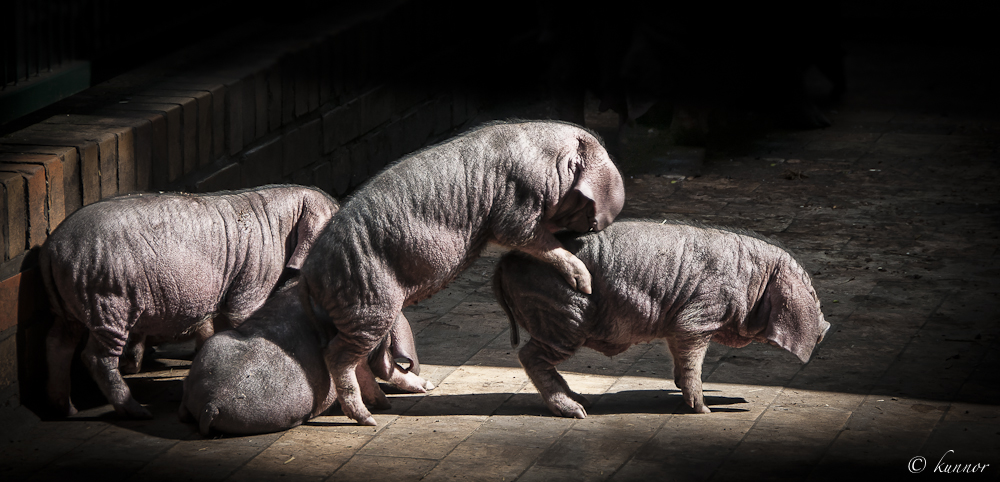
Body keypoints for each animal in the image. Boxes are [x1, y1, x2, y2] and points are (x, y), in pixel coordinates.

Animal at [39, 185, 340, 418]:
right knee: (95, 357)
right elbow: (246, 314)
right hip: (106, 299)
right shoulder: (254, 278)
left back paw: (66, 410)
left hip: (69, 307)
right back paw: (138, 412)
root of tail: (52, 248)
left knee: (57, 343)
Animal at [298, 120, 624, 426]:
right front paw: (585, 283)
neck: (551, 162)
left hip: (372, 311)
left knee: (368, 361)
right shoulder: (518, 202)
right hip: (369, 301)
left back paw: (406, 395)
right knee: (338, 355)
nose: (595, 228)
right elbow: (524, 236)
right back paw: (368, 418)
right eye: (586, 209)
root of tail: (310, 272)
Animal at [492, 219, 828, 418]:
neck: (752, 279)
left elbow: (680, 358)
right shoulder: (699, 314)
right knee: (530, 356)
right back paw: (578, 412)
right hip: (563, 315)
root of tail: (505, 260)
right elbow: (693, 359)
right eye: (812, 292)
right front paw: (704, 411)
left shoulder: (676, 322)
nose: (827, 325)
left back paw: (584, 402)